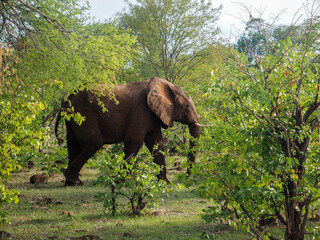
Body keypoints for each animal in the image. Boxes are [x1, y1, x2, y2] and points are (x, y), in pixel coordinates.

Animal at [54, 77, 205, 186]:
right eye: (187, 106)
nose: (186, 177)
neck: (166, 85)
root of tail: (67, 99)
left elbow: (157, 144)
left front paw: (165, 183)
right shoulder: (141, 110)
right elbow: (134, 140)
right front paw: (122, 181)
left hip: (71, 117)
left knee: (72, 145)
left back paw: (72, 183)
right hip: (82, 114)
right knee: (93, 143)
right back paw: (73, 180)